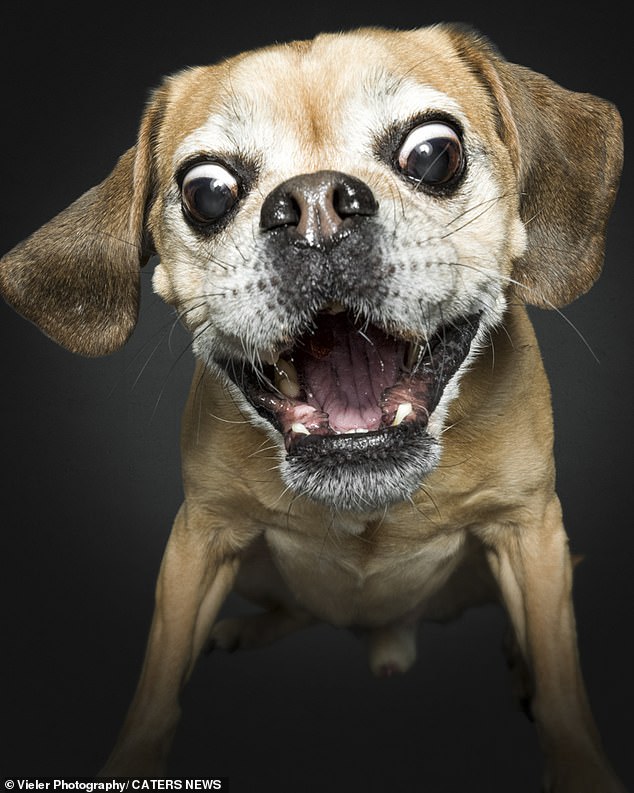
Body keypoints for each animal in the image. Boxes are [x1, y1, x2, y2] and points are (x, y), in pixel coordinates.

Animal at [0, 21, 624, 788]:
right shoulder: (199, 540)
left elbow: (562, 676)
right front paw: (132, 758)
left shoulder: (530, 533)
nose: (316, 205)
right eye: (206, 191)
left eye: (433, 153)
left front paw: (576, 757)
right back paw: (243, 628)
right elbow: (158, 680)